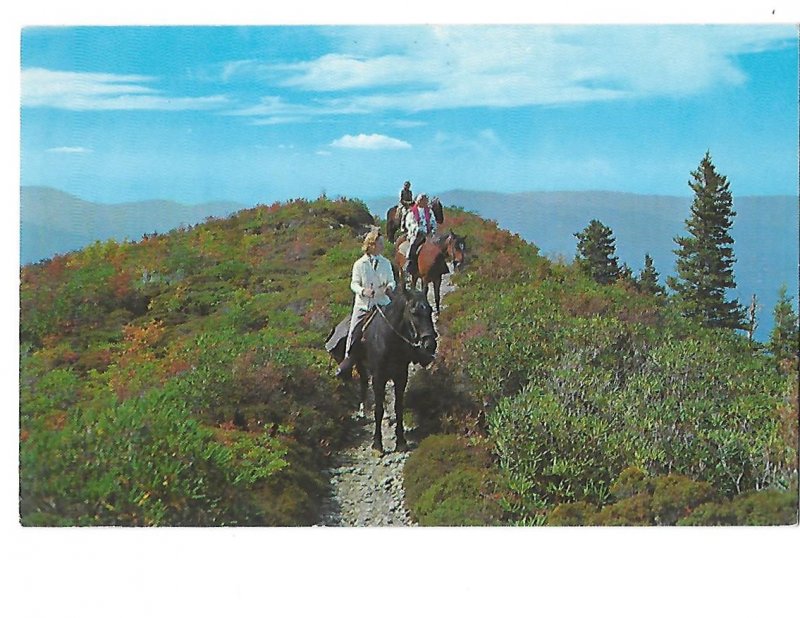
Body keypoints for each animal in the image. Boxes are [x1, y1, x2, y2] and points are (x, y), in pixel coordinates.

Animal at [326, 288, 438, 452]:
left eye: (429, 310)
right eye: (414, 312)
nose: (430, 344)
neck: (389, 340)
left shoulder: (400, 376)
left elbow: (398, 407)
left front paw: (401, 441)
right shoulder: (378, 376)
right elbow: (378, 409)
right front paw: (377, 444)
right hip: (362, 366)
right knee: (363, 384)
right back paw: (361, 412)